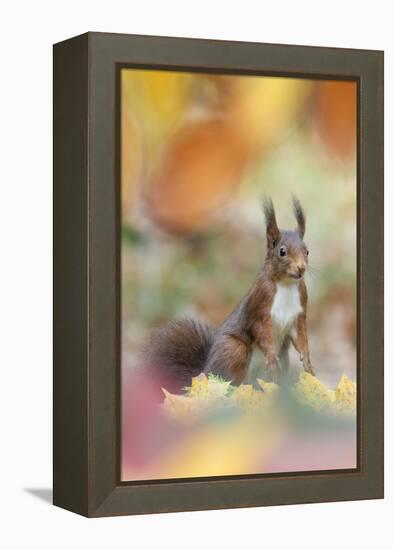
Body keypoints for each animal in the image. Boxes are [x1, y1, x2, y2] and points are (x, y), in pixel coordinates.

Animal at [145, 198, 314, 392]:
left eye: (307, 251)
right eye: (282, 251)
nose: (301, 268)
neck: (286, 285)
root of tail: (203, 374)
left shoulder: (298, 313)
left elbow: (300, 337)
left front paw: (307, 361)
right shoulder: (259, 305)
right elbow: (261, 331)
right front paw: (271, 357)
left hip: (282, 359)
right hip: (234, 349)